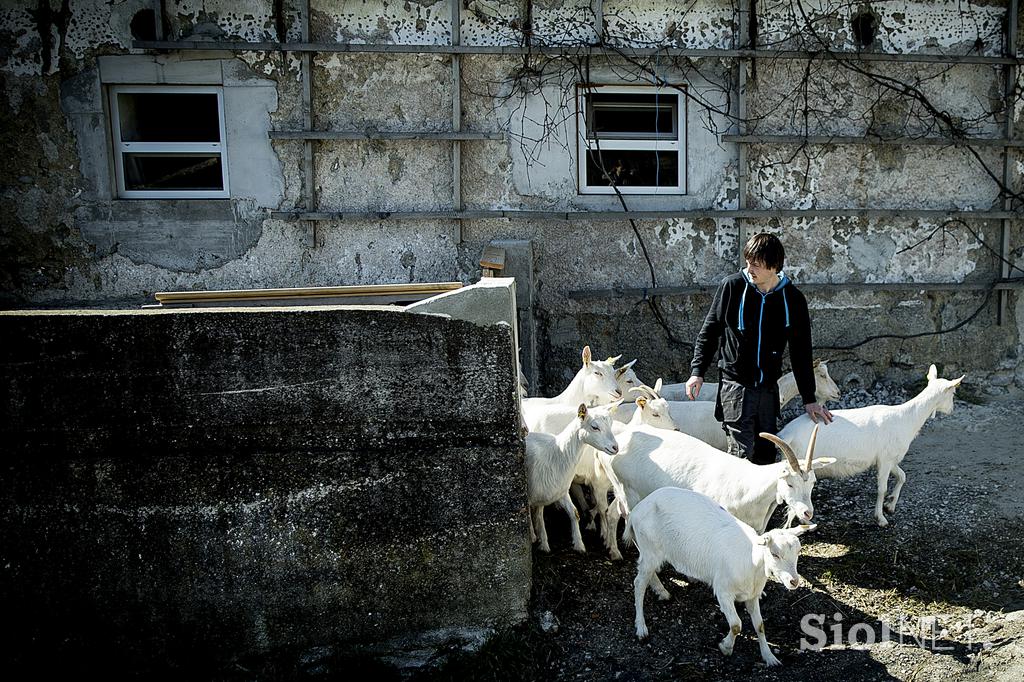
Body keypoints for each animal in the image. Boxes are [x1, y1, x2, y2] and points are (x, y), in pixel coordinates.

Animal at [524, 401, 618, 548]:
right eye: (594, 427)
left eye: (610, 424)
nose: (615, 447)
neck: (557, 453)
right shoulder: (533, 494)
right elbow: (532, 516)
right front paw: (538, 539)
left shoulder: (560, 491)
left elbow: (574, 513)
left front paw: (579, 545)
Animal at [622, 485, 815, 667]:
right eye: (774, 554)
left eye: (798, 552)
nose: (794, 581)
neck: (751, 563)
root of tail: (637, 509)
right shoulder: (723, 591)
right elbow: (736, 625)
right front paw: (726, 647)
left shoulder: (752, 596)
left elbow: (760, 625)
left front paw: (769, 657)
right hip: (649, 547)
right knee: (639, 583)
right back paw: (641, 627)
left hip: (650, 551)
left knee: (649, 575)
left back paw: (662, 593)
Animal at [778, 360, 962, 524]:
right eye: (953, 393)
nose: (951, 409)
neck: (906, 418)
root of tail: (786, 433)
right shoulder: (886, 459)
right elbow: (882, 489)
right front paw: (881, 518)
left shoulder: (887, 458)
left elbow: (902, 476)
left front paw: (890, 505)